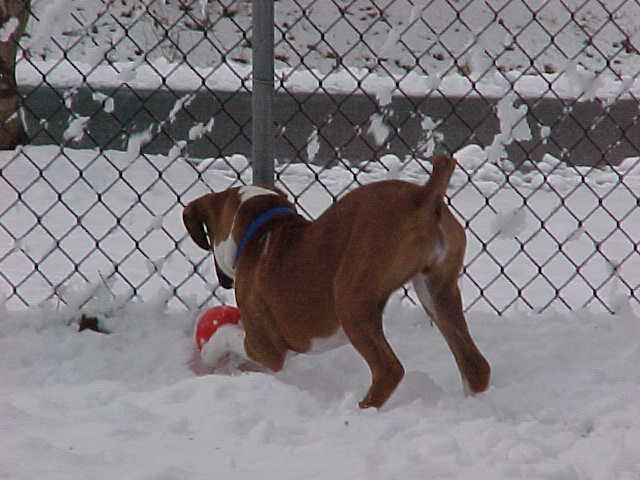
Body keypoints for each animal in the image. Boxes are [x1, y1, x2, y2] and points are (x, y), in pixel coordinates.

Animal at [182, 155, 492, 408]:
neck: (262, 233)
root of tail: (424, 194)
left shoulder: (266, 346)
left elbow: (226, 335)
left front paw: (209, 356)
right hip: (437, 292)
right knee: (475, 366)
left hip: (351, 300)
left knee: (389, 370)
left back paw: (361, 410)